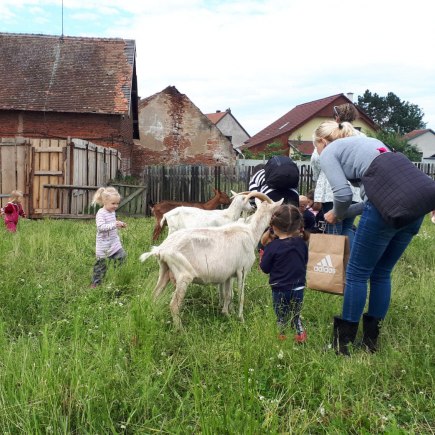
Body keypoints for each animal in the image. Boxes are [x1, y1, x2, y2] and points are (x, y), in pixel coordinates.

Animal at [139, 192, 282, 328]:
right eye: (276, 212)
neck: (251, 232)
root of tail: (161, 249)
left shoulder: (229, 275)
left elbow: (228, 295)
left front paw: (226, 314)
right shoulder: (242, 270)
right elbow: (241, 296)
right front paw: (241, 319)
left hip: (164, 271)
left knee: (154, 295)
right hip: (183, 275)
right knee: (174, 304)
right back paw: (180, 330)